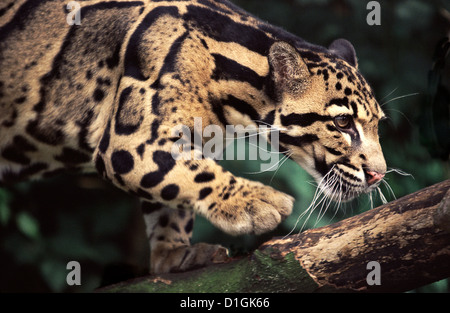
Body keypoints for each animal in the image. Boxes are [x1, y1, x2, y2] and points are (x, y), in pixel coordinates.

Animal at [0, 0, 386, 272]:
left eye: (378, 123)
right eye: (342, 123)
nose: (379, 174)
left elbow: (173, 193)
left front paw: (173, 254)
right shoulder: (130, 141)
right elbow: (191, 174)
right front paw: (254, 203)